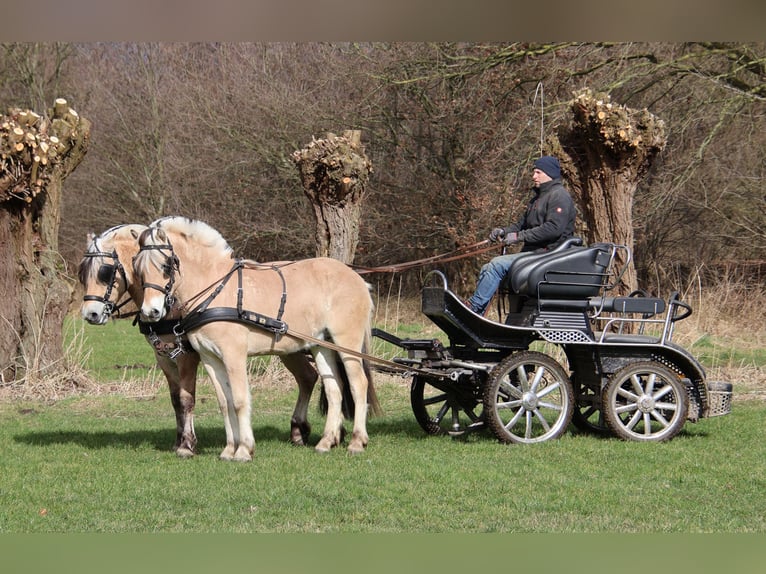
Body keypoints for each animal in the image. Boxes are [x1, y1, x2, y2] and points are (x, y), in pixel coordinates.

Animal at [134, 217, 380, 464]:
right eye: (138, 269)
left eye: (165, 266)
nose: (151, 311)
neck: (215, 288)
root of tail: (359, 280)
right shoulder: (210, 358)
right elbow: (225, 403)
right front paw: (228, 450)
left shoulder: (233, 355)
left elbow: (239, 400)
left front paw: (244, 450)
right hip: (322, 345)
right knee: (334, 389)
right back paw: (326, 442)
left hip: (346, 343)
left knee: (358, 385)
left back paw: (357, 441)